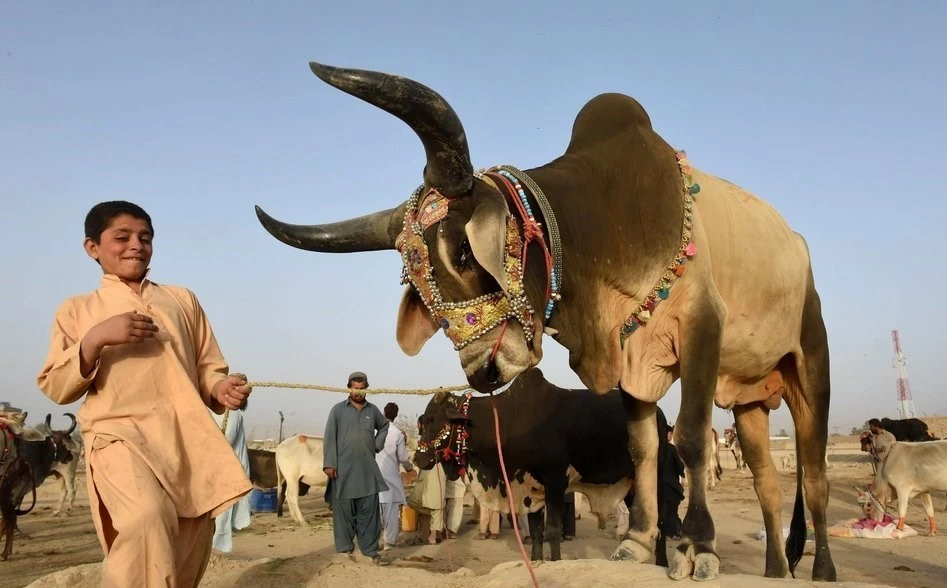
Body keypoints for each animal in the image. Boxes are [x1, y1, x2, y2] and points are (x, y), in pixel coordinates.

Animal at [0, 414, 76, 560]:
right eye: (66, 441)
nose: (70, 456)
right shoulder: (9, 490)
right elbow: (9, 518)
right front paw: (5, 552)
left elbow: (7, 519)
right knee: (69, 490)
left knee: (69, 490)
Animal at [414, 368, 672, 564]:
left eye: (432, 419)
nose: (417, 459)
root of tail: (659, 414)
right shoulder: (530, 491)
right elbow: (537, 533)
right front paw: (536, 561)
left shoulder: (556, 483)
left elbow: (552, 530)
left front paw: (555, 561)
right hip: (631, 484)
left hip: (656, 478)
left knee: (660, 522)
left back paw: (661, 564)